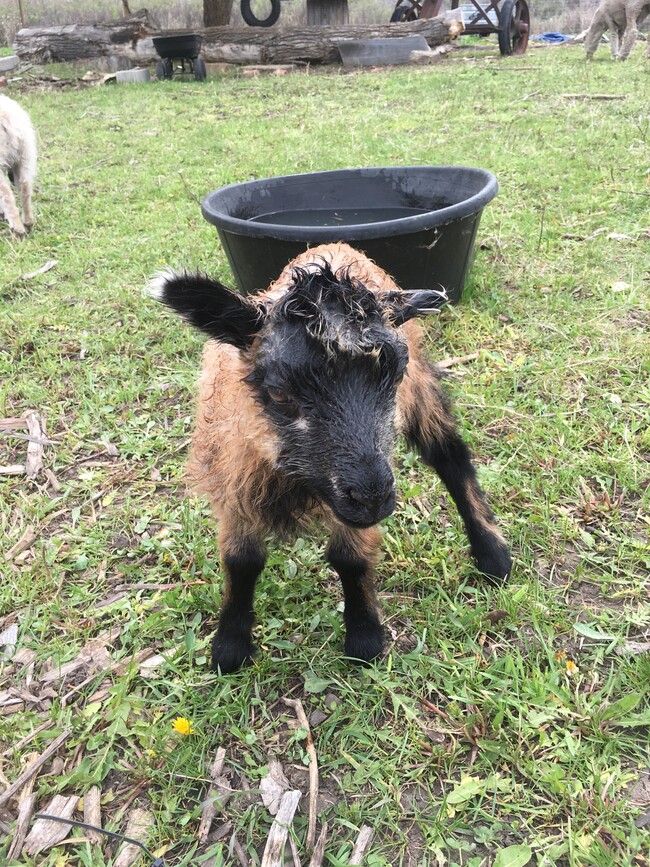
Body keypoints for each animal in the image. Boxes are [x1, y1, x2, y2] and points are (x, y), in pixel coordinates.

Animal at [153, 241, 512, 676]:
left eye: (395, 374)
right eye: (279, 392)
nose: (373, 497)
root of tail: (334, 245)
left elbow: (350, 558)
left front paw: (364, 639)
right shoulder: (232, 482)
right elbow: (241, 561)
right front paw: (230, 647)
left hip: (420, 395)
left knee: (450, 456)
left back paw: (492, 555)